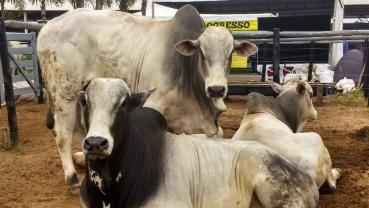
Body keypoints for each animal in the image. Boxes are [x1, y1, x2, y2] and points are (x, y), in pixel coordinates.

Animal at [37, 4, 256, 192]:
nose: (216, 89)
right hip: (65, 94)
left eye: (231, 53)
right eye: (202, 53)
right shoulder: (152, 104)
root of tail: (47, 27)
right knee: (62, 135)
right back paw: (72, 178)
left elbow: (218, 134)